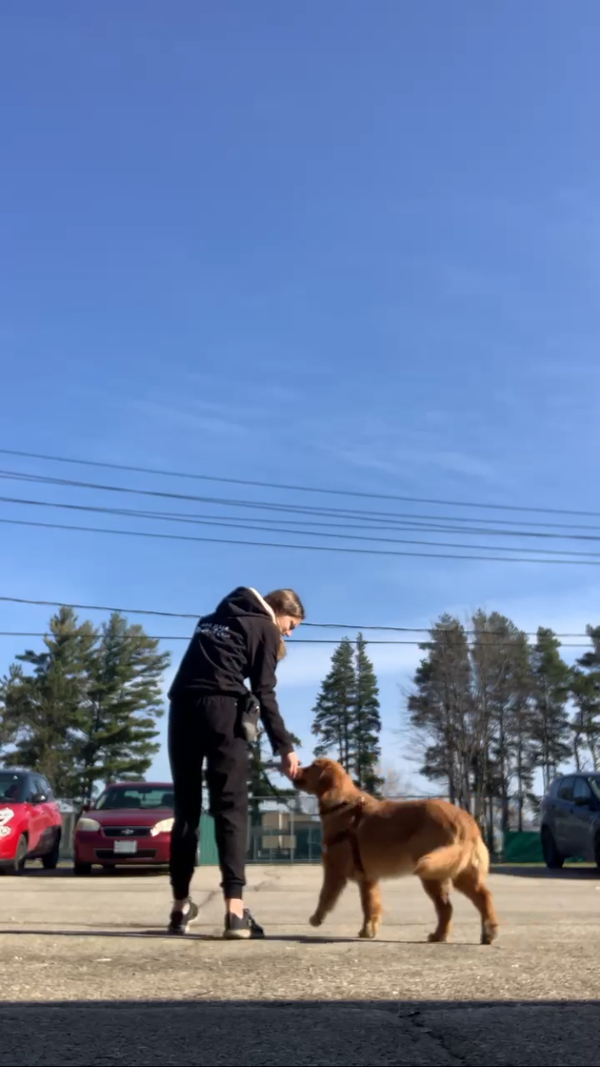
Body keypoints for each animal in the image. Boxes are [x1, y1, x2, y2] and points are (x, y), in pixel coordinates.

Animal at [292, 759, 495, 943]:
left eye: (311, 766)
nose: (295, 770)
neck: (341, 804)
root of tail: (465, 819)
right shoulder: (368, 878)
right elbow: (370, 905)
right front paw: (368, 930)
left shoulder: (334, 870)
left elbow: (325, 896)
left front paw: (316, 919)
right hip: (457, 871)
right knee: (481, 897)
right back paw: (486, 933)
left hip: (433, 871)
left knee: (447, 907)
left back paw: (440, 936)